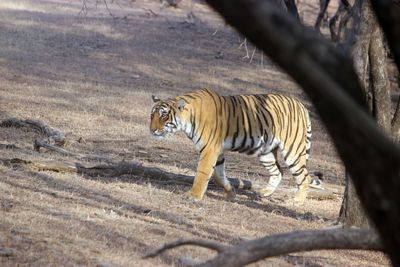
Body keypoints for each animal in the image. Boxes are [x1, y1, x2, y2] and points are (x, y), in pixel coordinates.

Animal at [150, 88, 312, 205]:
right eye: (152, 115)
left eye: (164, 115)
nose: (152, 130)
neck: (187, 120)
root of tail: (300, 105)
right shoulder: (217, 152)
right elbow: (218, 176)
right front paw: (231, 193)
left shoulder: (209, 149)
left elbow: (202, 174)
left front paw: (193, 196)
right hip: (266, 151)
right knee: (278, 171)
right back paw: (265, 192)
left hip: (293, 151)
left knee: (305, 176)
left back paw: (297, 201)